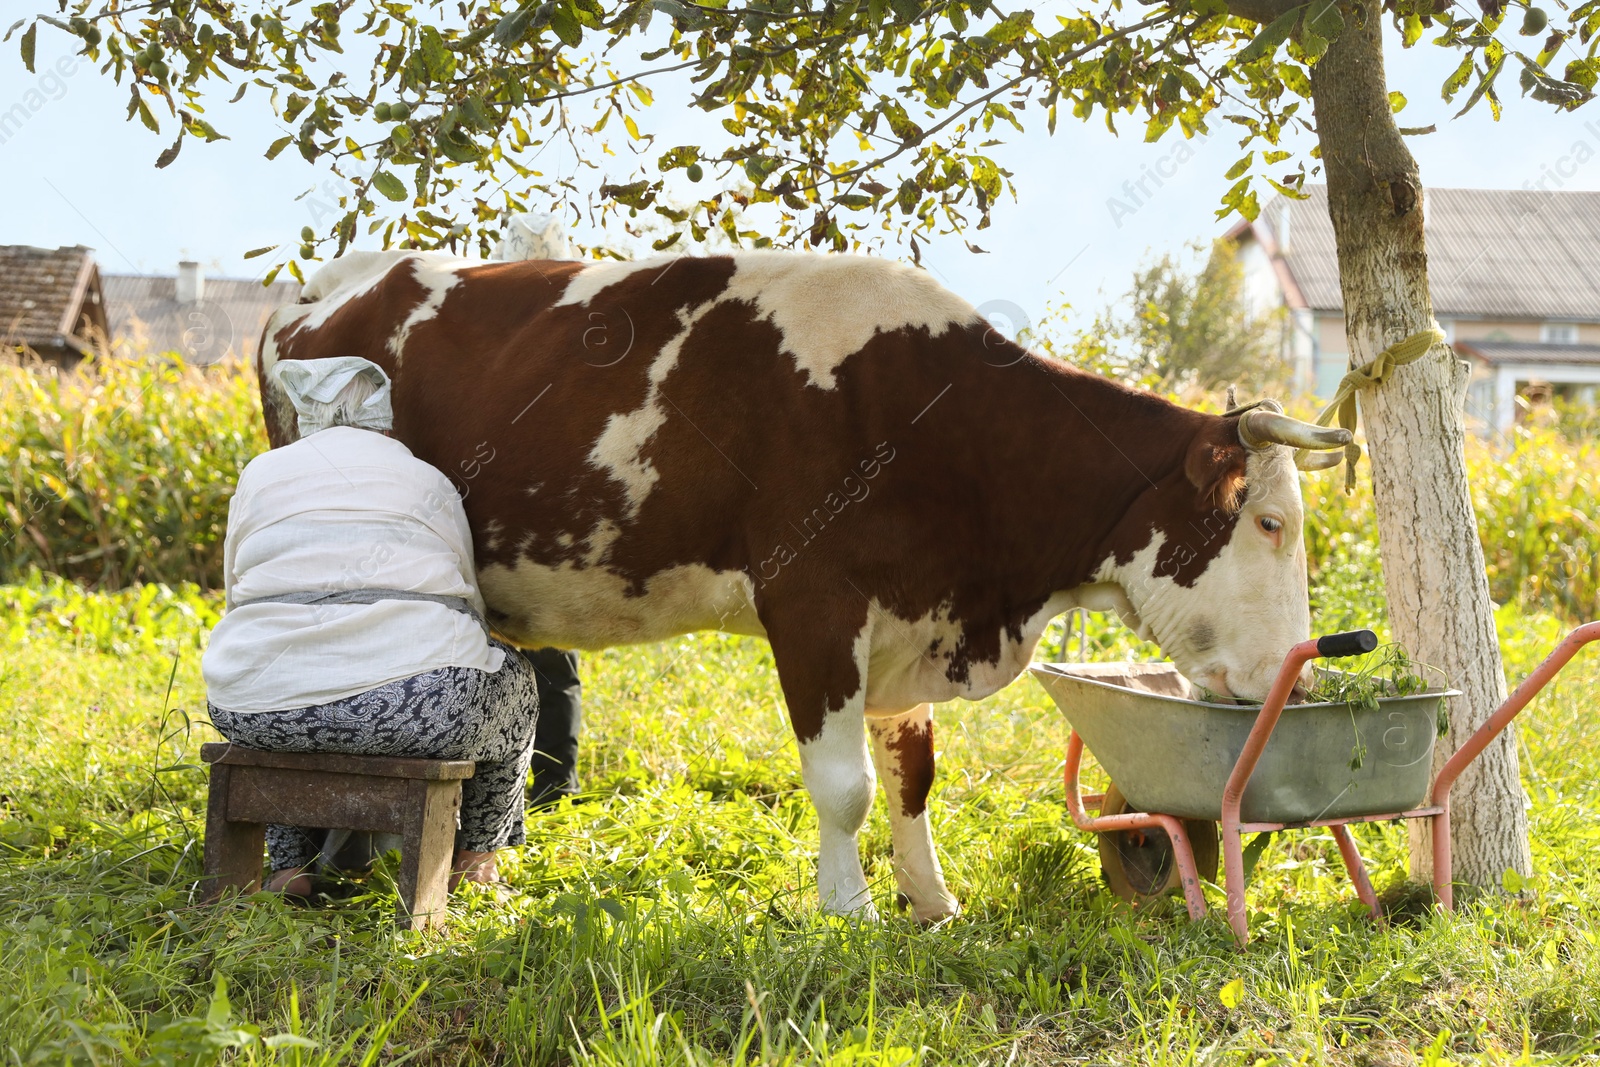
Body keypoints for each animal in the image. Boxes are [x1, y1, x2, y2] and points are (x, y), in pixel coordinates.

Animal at [262, 252, 1350, 927]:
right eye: (1268, 522)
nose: (1291, 680)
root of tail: (320, 285)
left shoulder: (911, 620)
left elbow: (912, 775)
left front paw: (930, 900)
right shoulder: (813, 603)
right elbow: (846, 784)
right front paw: (849, 908)